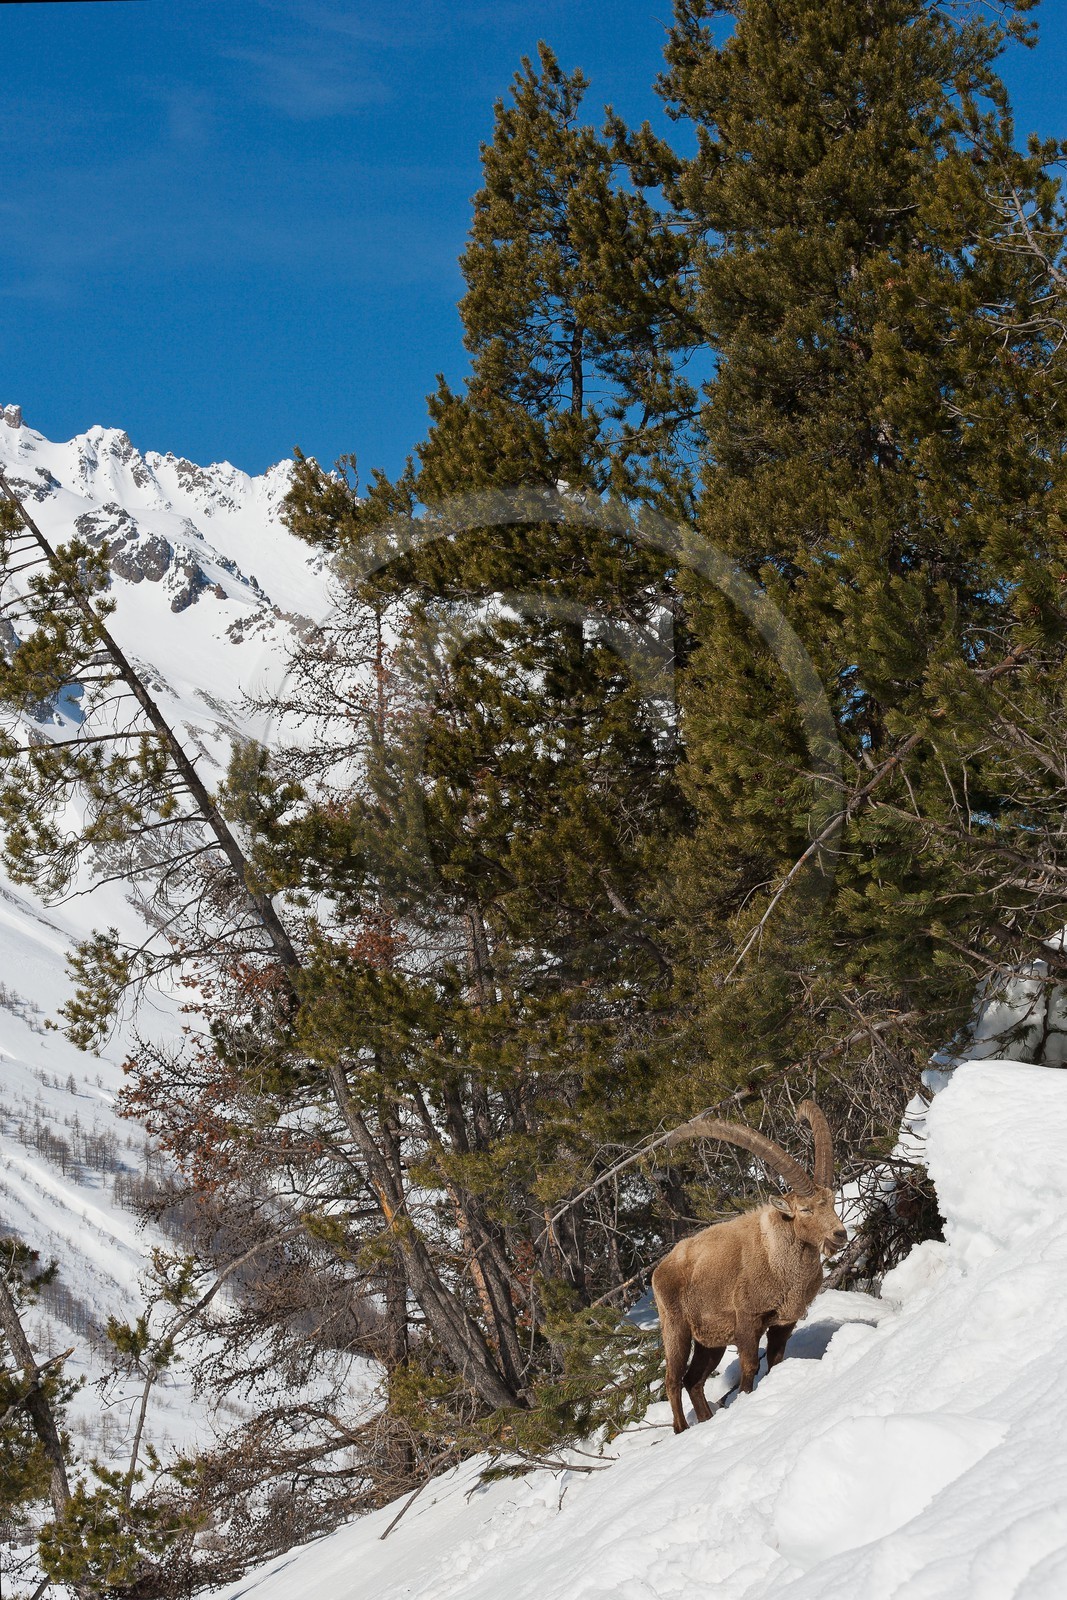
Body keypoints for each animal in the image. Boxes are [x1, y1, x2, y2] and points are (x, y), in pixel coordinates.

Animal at [651, 1099, 846, 1434]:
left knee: (693, 1380)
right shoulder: (748, 1319)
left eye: (832, 1202)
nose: (839, 1235)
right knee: (673, 1380)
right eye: (805, 1209)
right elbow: (750, 1365)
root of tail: (659, 1269)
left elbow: (776, 1360)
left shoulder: (783, 1322)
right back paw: (681, 1429)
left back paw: (706, 1419)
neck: (777, 1259)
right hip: (675, 1328)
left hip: (710, 1341)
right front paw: (745, 1399)